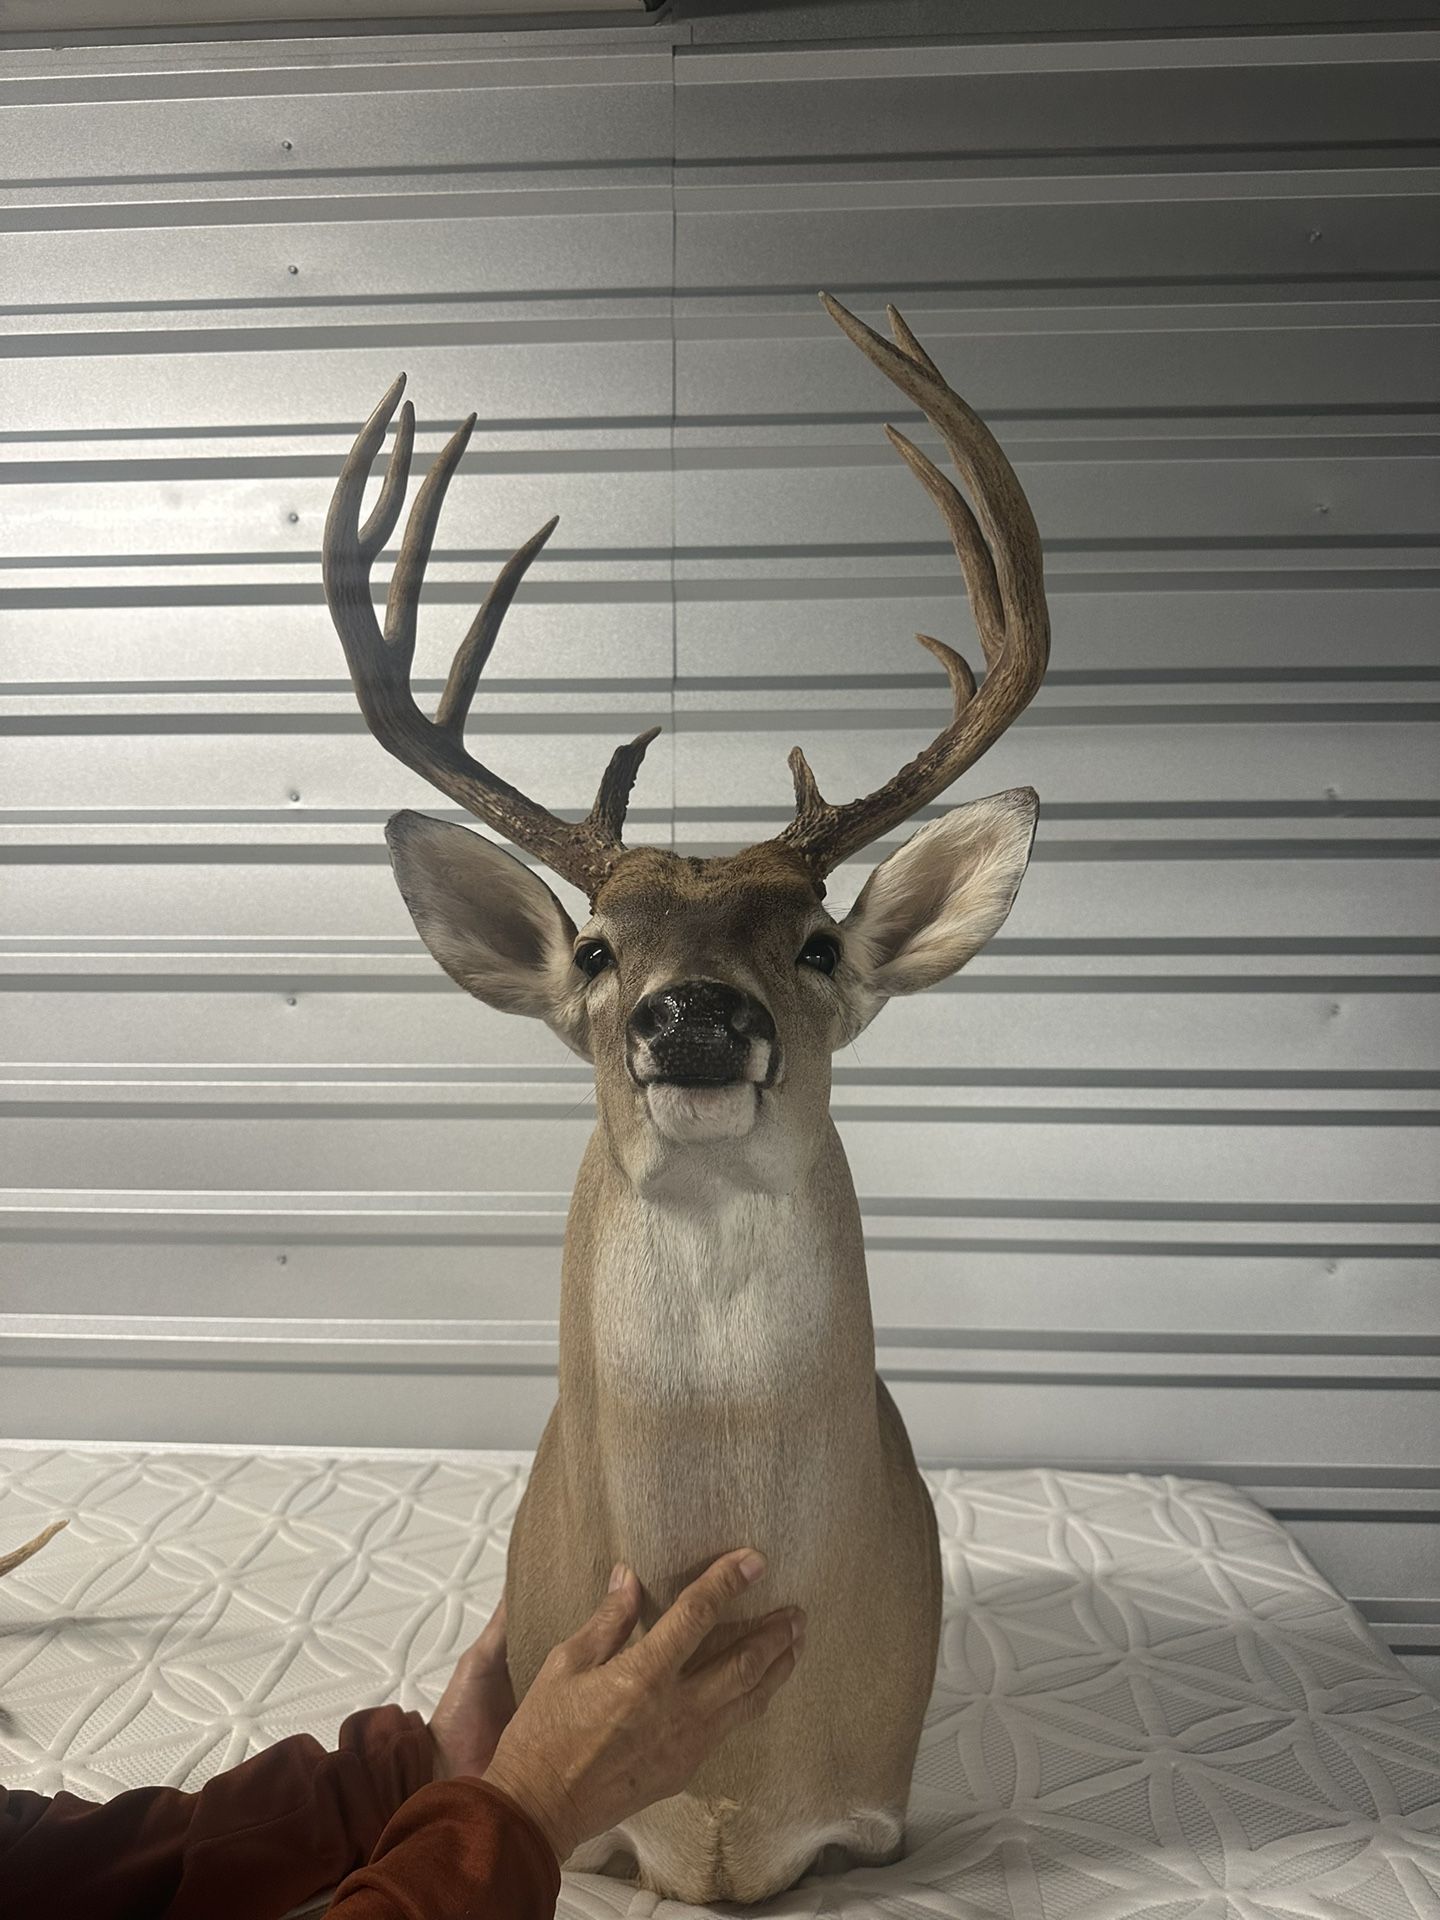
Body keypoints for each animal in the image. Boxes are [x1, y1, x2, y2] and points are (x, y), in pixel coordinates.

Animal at [322, 293, 1050, 1904]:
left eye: (819, 942)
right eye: (599, 948)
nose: (698, 1015)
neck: (730, 1791)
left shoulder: (873, 1825)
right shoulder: (592, 1832)